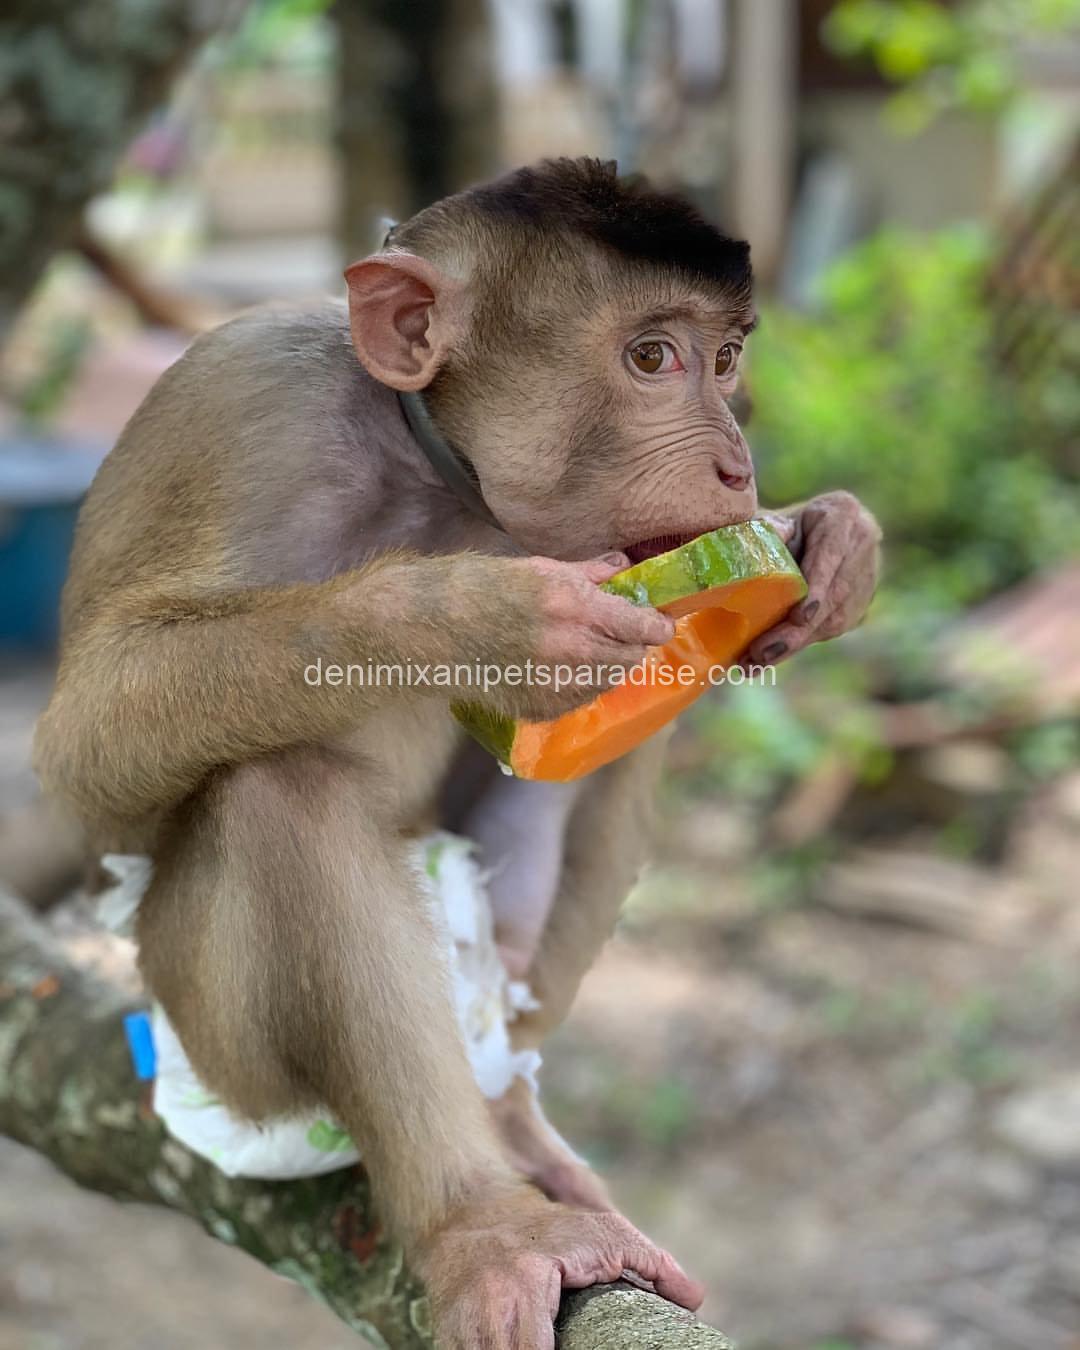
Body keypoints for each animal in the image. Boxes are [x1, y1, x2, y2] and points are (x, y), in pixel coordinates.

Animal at [33, 159, 880, 1349]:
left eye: (725, 359)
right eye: (651, 359)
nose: (735, 464)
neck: (436, 471)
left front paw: (830, 539)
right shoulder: (241, 407)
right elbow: (86, 750)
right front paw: (467, 616)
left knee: (630, 739)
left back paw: (510, 1120)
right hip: (212, 1049)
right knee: (280, 790)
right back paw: (476, 1218)